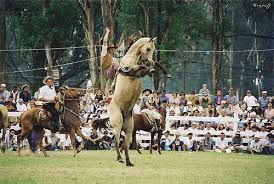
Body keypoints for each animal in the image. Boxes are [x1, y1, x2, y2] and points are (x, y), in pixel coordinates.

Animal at [109, 36, 156, 166]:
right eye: (148, 48)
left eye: (154, 50)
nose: (151, 62)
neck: (133, 56)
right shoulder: (130, 70)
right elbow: (140, 68)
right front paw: (148, 67)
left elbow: (143, 69)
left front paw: (151, 68)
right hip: (117, 123)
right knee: (116, 140)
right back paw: (119, 158)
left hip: (129, 128)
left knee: (125, 145)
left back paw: (128, 162)